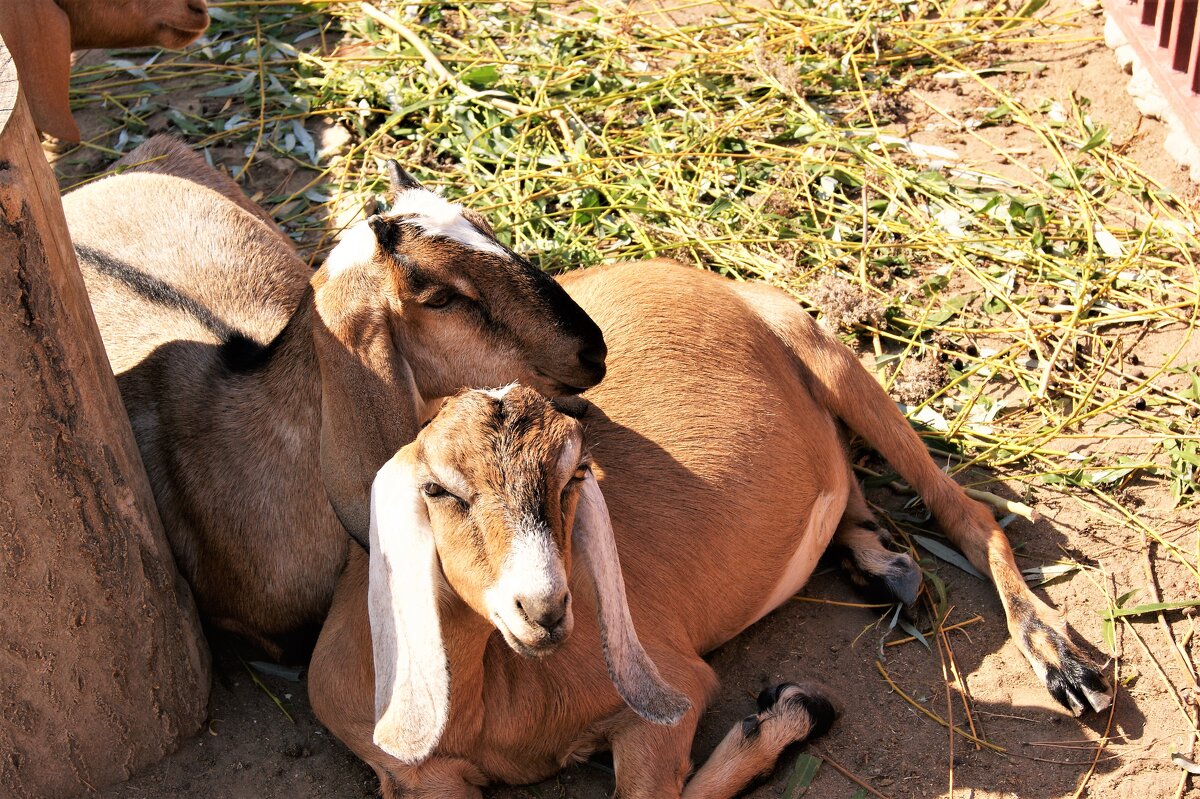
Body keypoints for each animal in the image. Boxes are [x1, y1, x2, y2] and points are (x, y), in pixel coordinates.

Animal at [312, 261, 1113, 796]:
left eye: (574, 475)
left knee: (969, 513)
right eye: (438, 487)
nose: (542, 607)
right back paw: (881, 563)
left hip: (826, 352)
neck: (499, 690)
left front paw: (788, 713)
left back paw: (1065, 663)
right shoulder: (416, 775)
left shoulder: (665, 698)